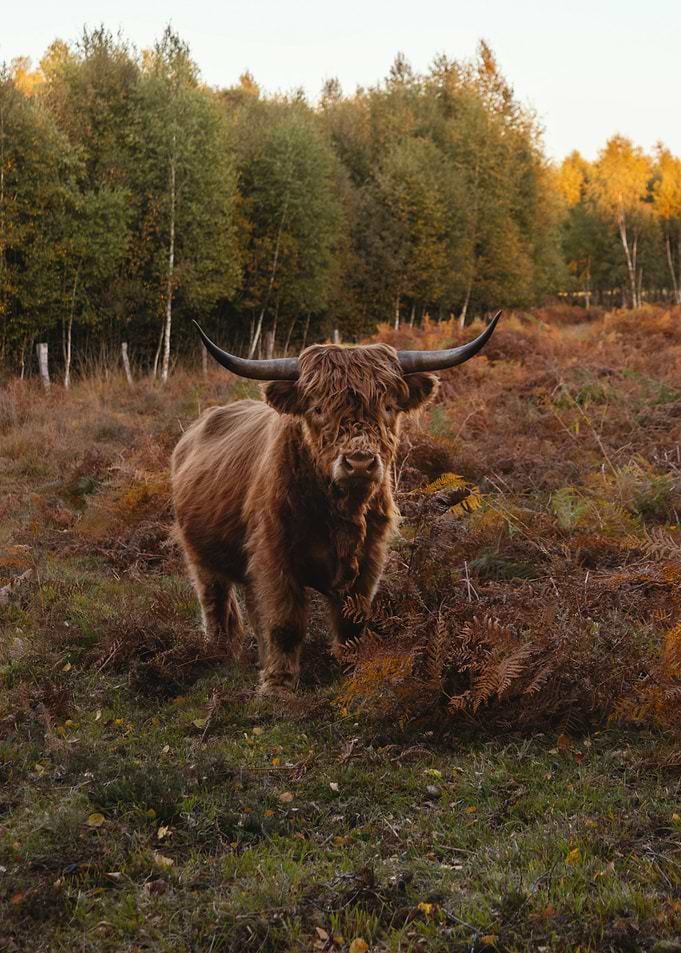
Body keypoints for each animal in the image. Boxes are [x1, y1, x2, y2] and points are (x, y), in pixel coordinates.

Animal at [171, 313, 501, 694]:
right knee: (215, 600)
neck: (341, 514)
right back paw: (219, 651)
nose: (359, 462)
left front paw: (354, 671)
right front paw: (278, 687)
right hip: (200, 556)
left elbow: (351, 621)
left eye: (389, 407)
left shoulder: (370, 557)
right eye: (317, 408)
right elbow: (284, 623)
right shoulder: (273, 556)